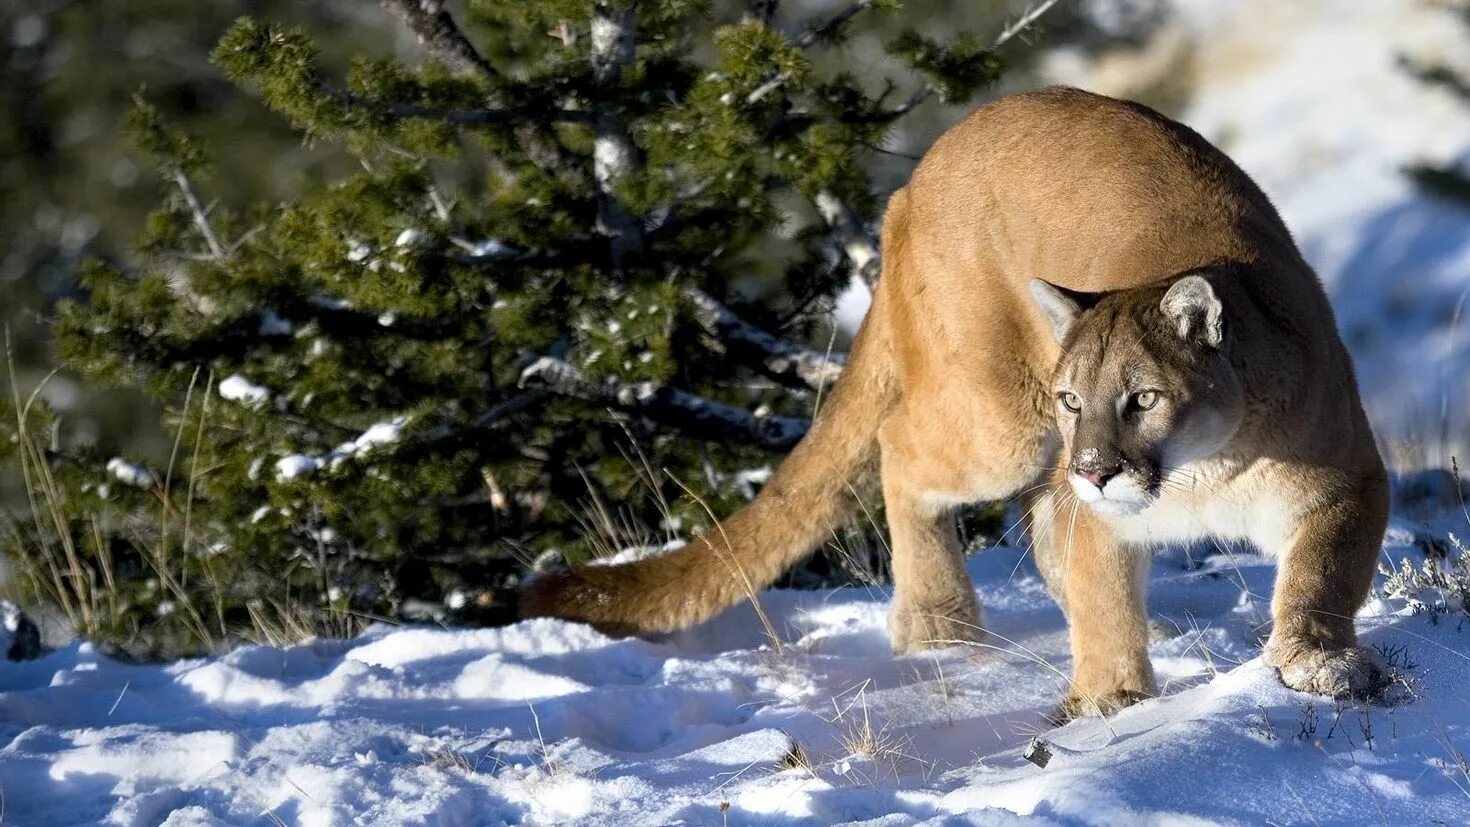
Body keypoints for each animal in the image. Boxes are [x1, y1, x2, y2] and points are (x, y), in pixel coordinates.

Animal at [526, 88, 1387, 719]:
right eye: (1076, 398)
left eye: (1142, 397)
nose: (1097, 467)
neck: (1202, 470)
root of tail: (917, 176)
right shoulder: (1099, 504)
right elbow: (1104, 595)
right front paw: (1110, 699)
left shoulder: (1344, 477)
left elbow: (1322, 574)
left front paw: (1317, 661)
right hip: (999, 418)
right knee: (902, 445)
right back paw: (938, 623)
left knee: (1033, 510)